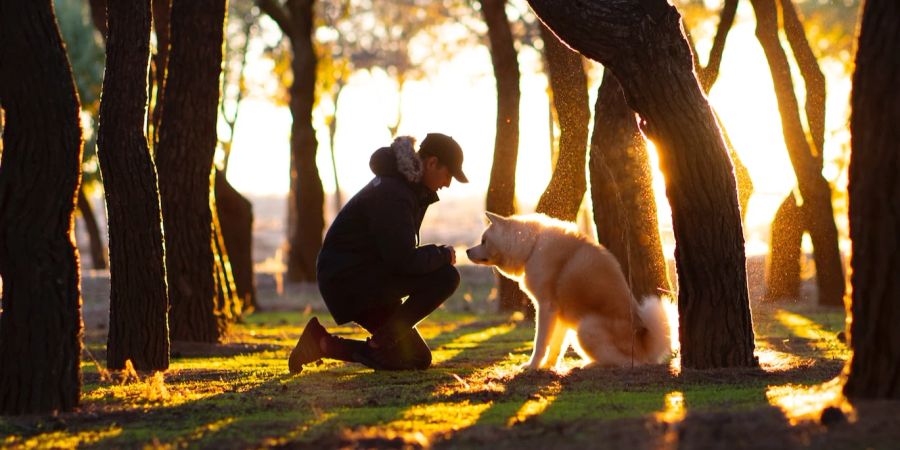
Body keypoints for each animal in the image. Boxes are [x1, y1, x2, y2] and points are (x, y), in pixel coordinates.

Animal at [464, 213, 668, 370]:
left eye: (483, 241)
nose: (466, 251)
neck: (533, 246)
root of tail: (645, 347)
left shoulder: (545, 308)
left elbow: (540, 343)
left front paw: (533, 366)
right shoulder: (560, 315)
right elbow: (556, 347)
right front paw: (548, 366)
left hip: (584, 328)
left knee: (627, 362)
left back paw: (592, 364)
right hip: (575, 329)